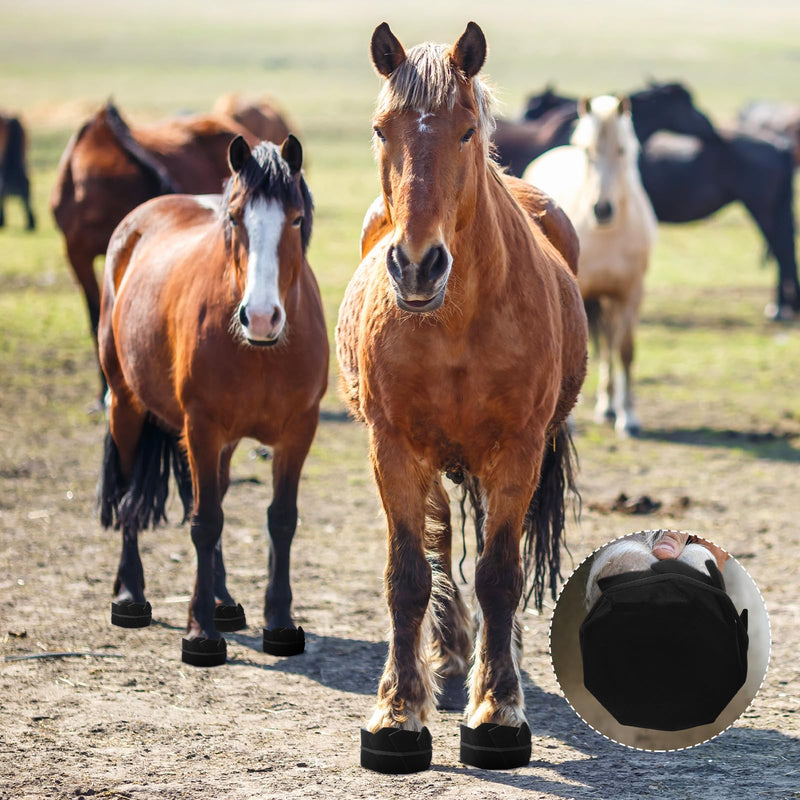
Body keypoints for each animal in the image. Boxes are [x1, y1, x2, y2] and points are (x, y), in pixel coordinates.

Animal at [97, 135, 328, 667]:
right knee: (128, 496)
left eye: (296, 219)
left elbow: (280, 520)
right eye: (236, 218)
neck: (263, 352)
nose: (260, 317)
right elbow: (205, 523)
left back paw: (224, 602)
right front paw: (200, 633)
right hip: (126, 405)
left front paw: (279, 623)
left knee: (216, 495)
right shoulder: (200, 428)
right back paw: (130, 595)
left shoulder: (297, 433)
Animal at [336, 22, 587, 772]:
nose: (417, 265)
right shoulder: (391, 448)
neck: (454, 321)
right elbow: (408, 574)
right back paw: (447, 660)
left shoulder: (518, 450)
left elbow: (502, 575)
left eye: (468, 130)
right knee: (441, 540)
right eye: (381, 129)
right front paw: (397, 713)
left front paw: (498, 710)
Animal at [524, 96, 657, 436]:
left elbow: (625, 351)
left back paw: (608, 406)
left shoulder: (630, 294)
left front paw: (628, 416)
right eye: (588, 151)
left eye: (622, 150)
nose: (603, 209)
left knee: (610, 344)